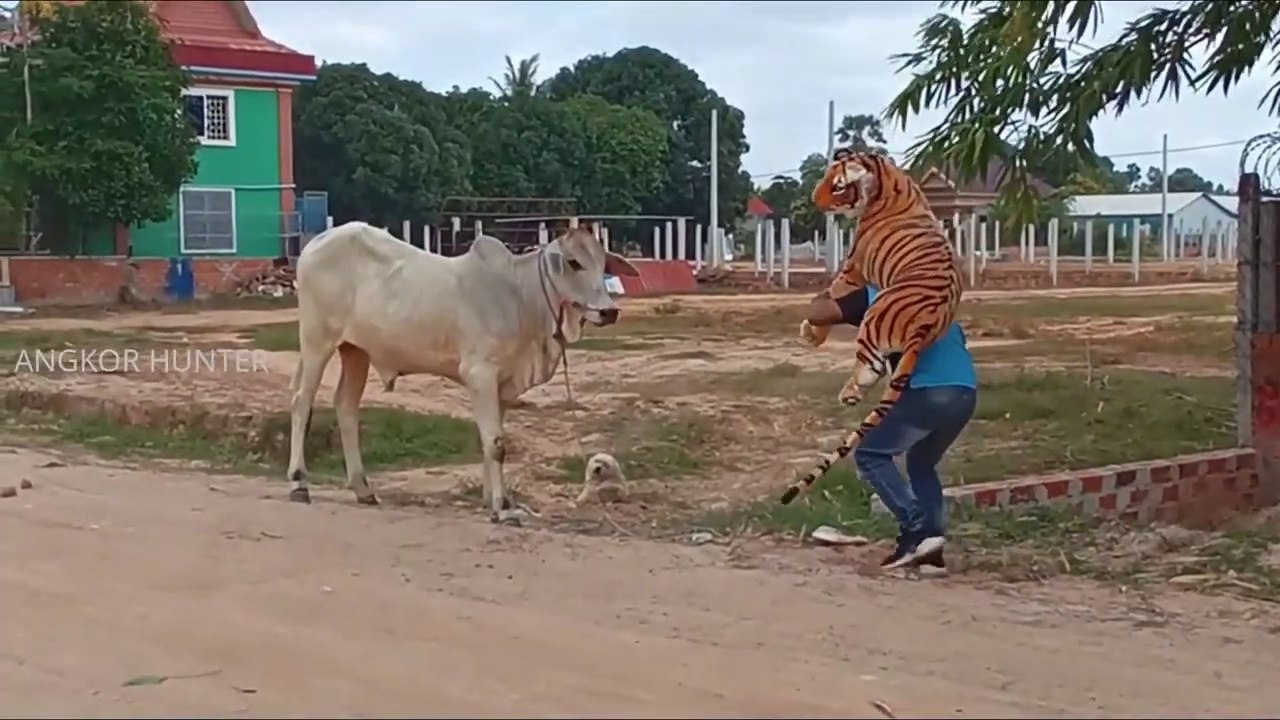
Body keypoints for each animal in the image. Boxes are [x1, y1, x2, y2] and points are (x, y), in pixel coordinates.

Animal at [285, 221, 641, 524]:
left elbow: (493, 441)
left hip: (356, 351)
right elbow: (496, 444)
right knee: (302, 401)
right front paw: (501, 507)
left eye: (603, 264)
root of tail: (316, 242)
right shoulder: (480, 374)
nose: (609, 311)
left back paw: (363, 488)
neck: (521, 297)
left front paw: (494, 501)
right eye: (573, 262)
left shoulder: (503, 385)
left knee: (346, 406)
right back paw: (299, 483)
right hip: (317, 340)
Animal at [779, 148, 963, 505]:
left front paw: (812, 331)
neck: (885, 177)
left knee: (868, 369)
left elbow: (829, 295)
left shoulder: (851, 269)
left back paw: (849, 393)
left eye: (837, 186)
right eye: (826, 176)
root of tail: (926, 322)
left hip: (871, 320)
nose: (815, 199)